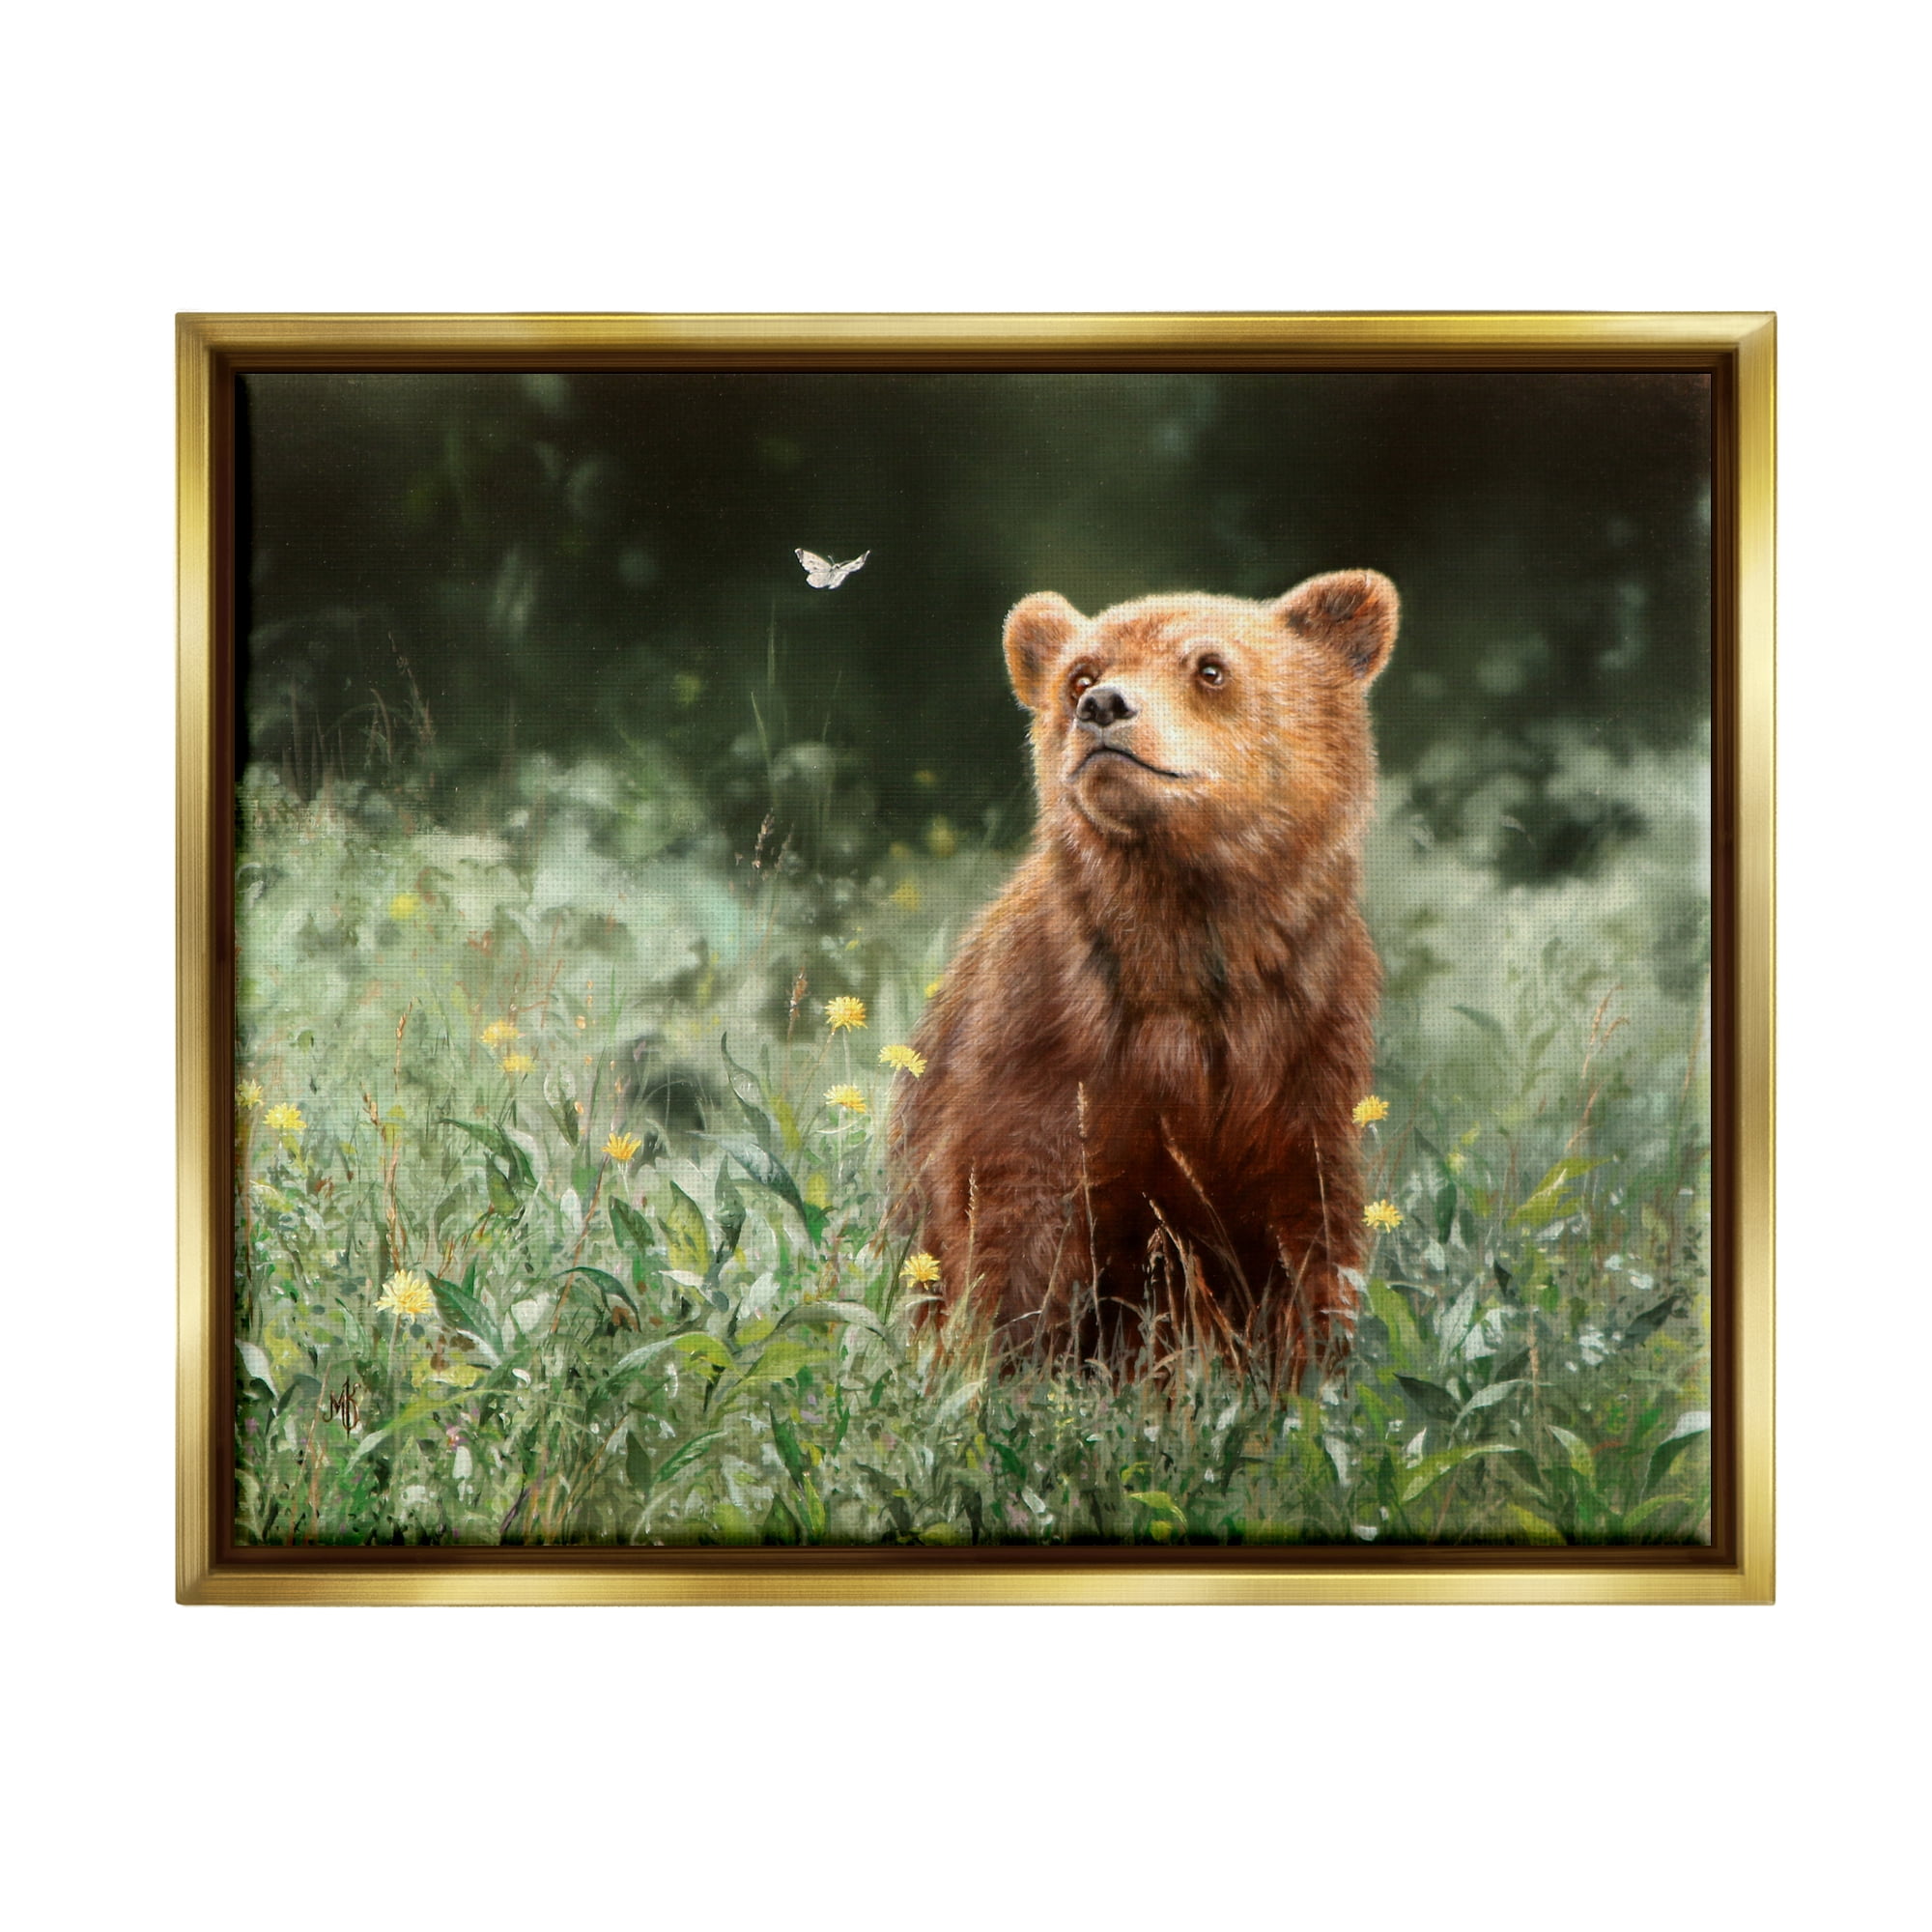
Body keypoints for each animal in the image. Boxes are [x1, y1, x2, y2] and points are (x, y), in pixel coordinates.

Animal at [886, 569, 1398, 1381]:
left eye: (1210, 667)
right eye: (1079, 672)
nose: (1102, 706)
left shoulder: (1303, 1046)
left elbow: (1305, 1235)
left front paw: (1301, 1374)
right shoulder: (1044, 1042)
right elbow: (1011, 1222)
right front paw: (1009, 1370)